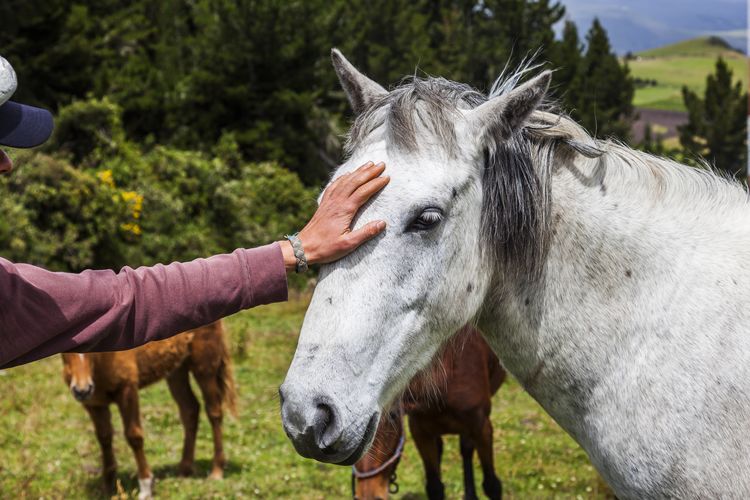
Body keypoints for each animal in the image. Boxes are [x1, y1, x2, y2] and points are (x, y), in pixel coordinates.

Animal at [62, 322, 238, 498]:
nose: (82, 390)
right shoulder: (94, 403)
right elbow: (104, 438)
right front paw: (108, 486)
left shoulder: (128, 390)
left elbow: (134, 436)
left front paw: (146, 486)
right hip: (176, 370)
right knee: (190, 409)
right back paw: (184, 469)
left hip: (204, 365)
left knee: (214, 411)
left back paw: (216, 471)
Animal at [356, 326, 508, 498]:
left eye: (393, 416)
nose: (368, 496)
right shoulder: (421, 432)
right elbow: (434, 487)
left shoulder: (481, 427)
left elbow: (492, 486)